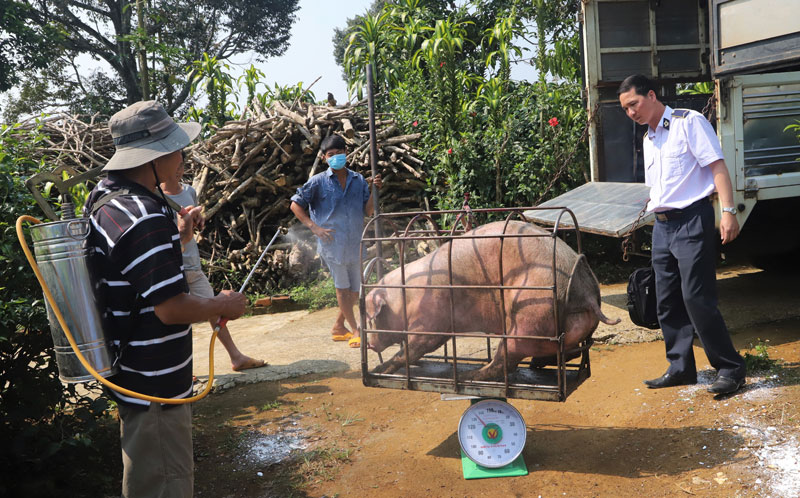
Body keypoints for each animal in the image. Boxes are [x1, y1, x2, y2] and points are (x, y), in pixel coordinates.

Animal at [362, 220, 620, 380]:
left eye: (371, 317)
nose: (369, 344)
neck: (405, 298)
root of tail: (586, 295)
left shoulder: (431, 319)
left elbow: (416, 347)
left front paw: (380, 368)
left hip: (528, 317)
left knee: (505, 362)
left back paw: (469, 376)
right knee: (570, 351)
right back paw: (536, 364)